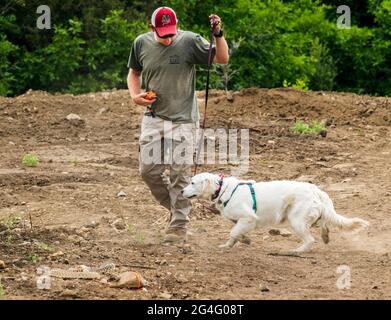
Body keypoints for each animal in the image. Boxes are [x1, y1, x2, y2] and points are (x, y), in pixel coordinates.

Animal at [182, 172, 370, 252]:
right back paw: (325, 236)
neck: (222, 189)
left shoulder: (249, 218)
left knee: (310, 239)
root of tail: (315, 189)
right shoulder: (242, 221)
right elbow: (236, 233)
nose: (182, 191)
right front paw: (238, 242)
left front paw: (235, 243)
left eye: (192, 182)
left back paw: (298, 251)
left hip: (297, 220)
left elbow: (233, 232)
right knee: (324, 223)